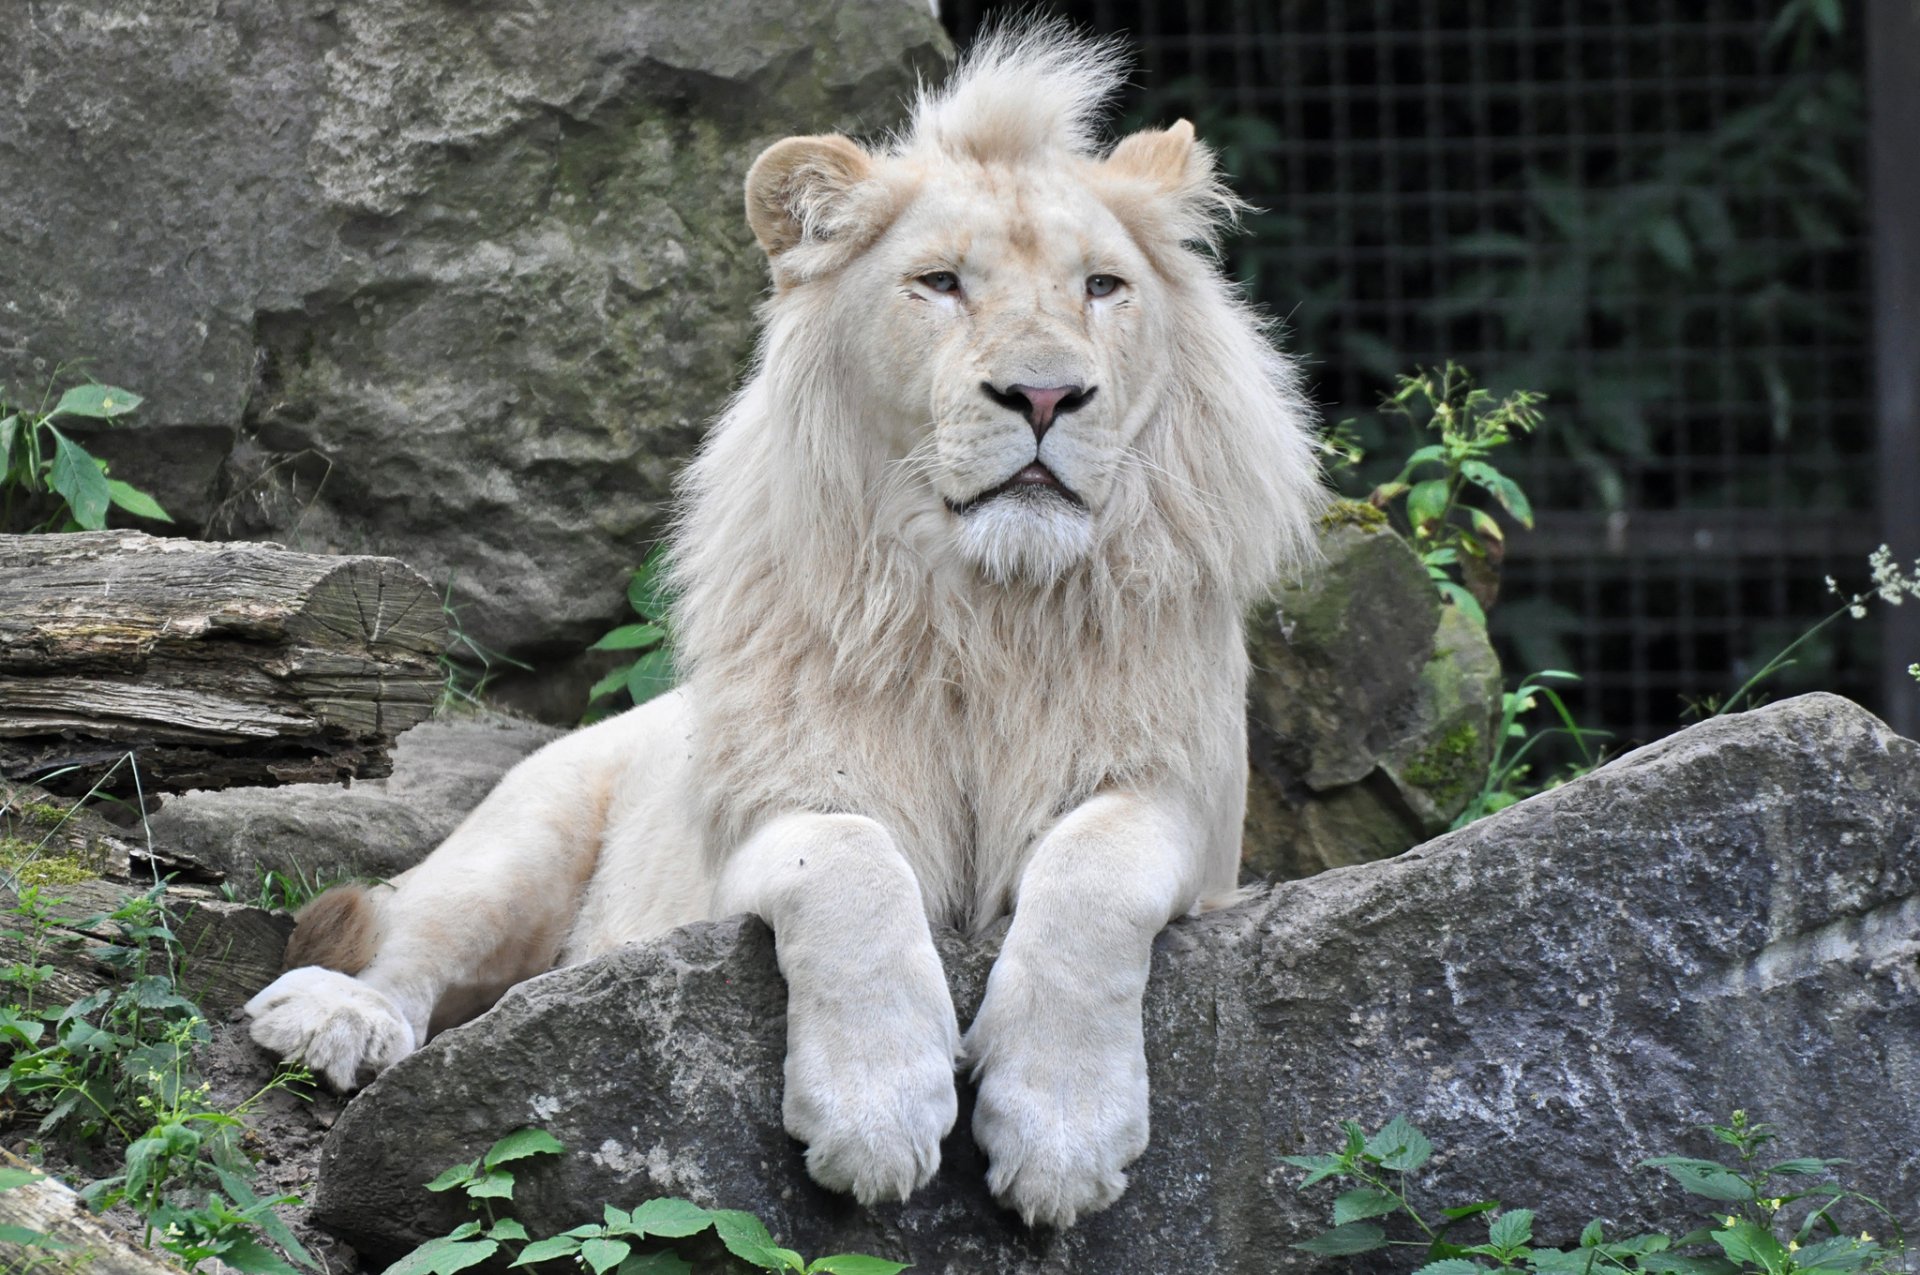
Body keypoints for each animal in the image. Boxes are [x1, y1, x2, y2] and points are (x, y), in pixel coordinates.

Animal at [244, 23, 1325, 1228]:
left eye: (1103, 287)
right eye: (939, 283)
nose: (1045, 397)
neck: (984, 607)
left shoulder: (1189, 805)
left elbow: (1092, 874)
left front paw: (1061, 1132)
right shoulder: (775, 801)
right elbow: (849, 867)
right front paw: (876, 1117)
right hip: (524, 835)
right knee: (410, 943)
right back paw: (339, 1021)